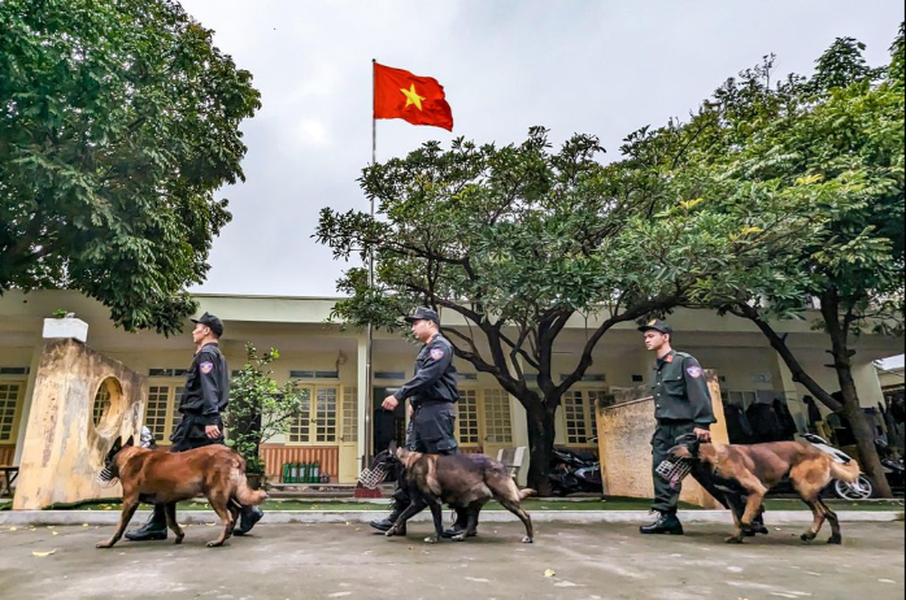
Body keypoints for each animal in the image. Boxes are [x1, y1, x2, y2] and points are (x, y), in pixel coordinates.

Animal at [95, 436, 264, 548]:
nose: (100, 475)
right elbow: (171, 521)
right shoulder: (168, 503)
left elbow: (119, 526)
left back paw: (218, 541)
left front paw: (108, 542)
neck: (128, 457)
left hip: (215, 495)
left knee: (228, 517)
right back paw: (230, 532)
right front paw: (179, 535)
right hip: (224, 495)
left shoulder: (130, 501)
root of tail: (232, 453)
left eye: (106, 461)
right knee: (236, 509)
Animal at [676, 438, 860, 548]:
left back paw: (810, 534)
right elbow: (738, 520)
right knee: (831, 513)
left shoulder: (757, 491)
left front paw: (757, 527)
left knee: (820, 513)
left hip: (802, 488)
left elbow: (744, 520)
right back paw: (835, 538)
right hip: (810, 492)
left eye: (673, 454)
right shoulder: (732, 497)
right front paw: (738, 537)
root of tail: (825, 454)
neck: (714, 458)